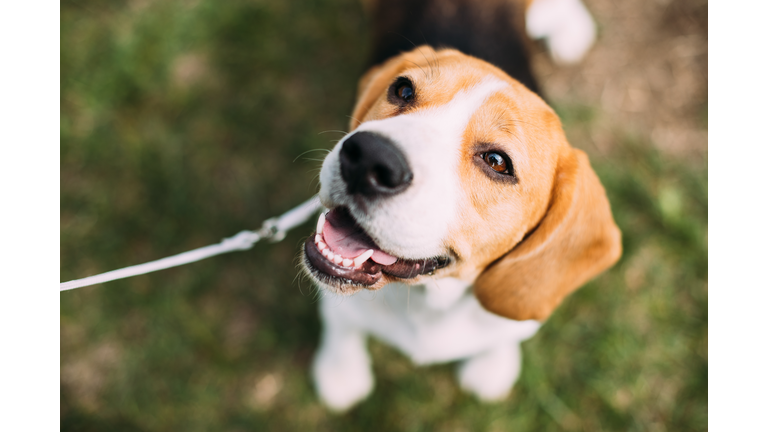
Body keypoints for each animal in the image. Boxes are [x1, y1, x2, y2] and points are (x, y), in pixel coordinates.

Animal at [300, 0, 616, 412]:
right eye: (403, 89)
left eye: (497, 162)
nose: (368, 157)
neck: (427, 300)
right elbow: (342, 322)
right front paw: (341, 371)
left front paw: (493, 366)